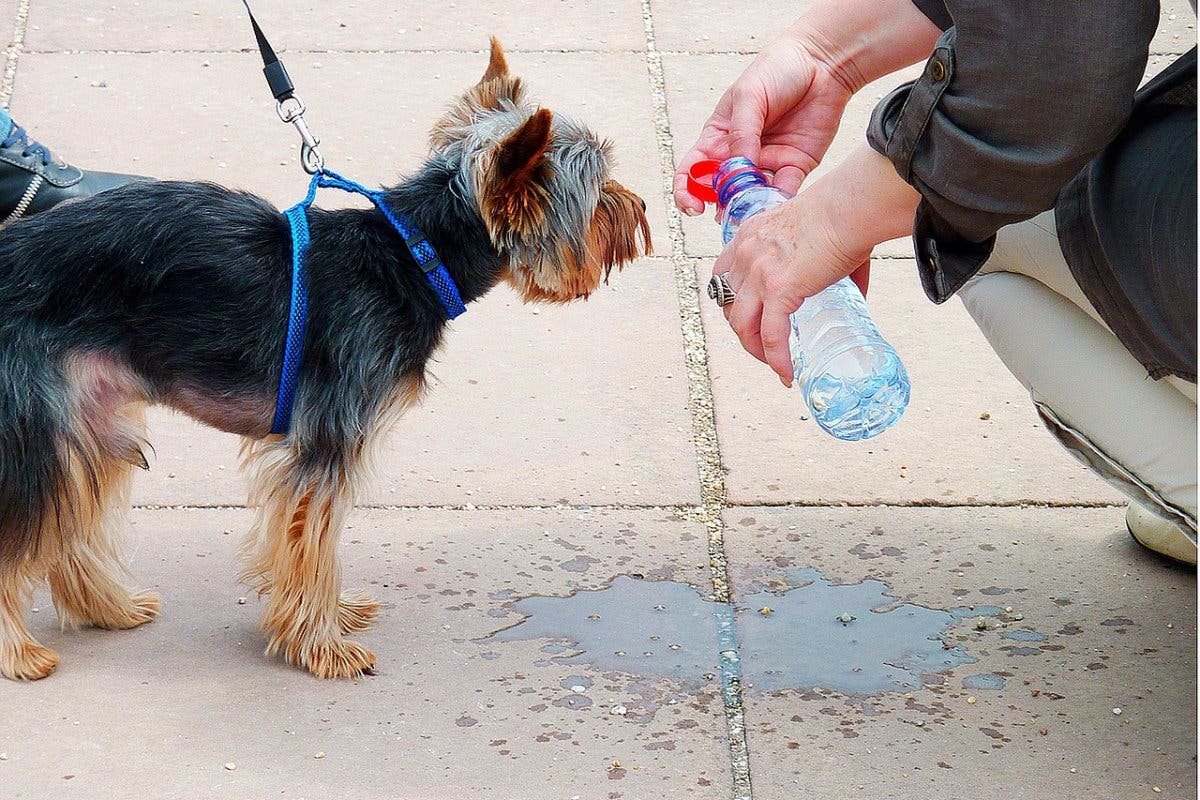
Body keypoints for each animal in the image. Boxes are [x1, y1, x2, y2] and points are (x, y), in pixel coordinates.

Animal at [0, 38, 648, 681]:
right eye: (598, 194)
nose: (641, 209)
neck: (415, 254)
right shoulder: (328, 442)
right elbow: (314, 540)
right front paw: (322, 645)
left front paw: (330, 619)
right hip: (37, 416)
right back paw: (22, 653)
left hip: (90, 417)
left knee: (69, 516)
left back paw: (109, 607)